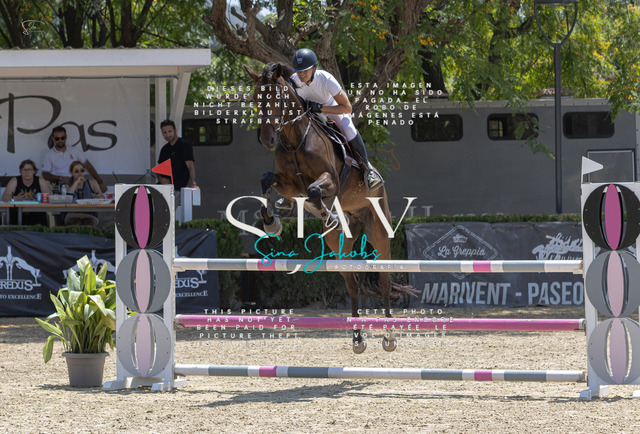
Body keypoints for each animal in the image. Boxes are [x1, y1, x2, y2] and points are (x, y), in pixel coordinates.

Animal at [246, 62, 401, 353]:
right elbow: (266, 180)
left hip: (379, 234)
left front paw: (325, 214)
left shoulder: (330, 180)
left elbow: (315, 190)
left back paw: (388, 337)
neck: (295, 139)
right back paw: (357, 338)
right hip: (339, 247)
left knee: (385, 282)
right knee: (353, 286)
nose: (266, 138)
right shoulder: (287, 184)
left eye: (275, 98)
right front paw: (272, 221)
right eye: (254, 99)